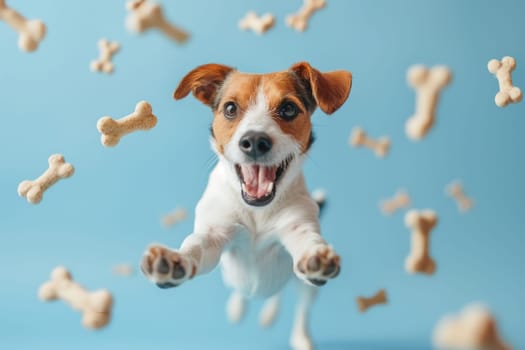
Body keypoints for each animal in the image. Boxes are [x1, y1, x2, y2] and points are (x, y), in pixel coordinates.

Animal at [141, 61, 350, 348]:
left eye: (288, 108)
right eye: (230, 108)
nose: (255, 142)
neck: (256, 210)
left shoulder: (297, 228)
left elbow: (308, 242)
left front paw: (315, 256)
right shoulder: (215, 235)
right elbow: (195, 246)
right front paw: (175, 261)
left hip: (305, 289)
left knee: (298, 306)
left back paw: (299, 335)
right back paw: (239, 307)